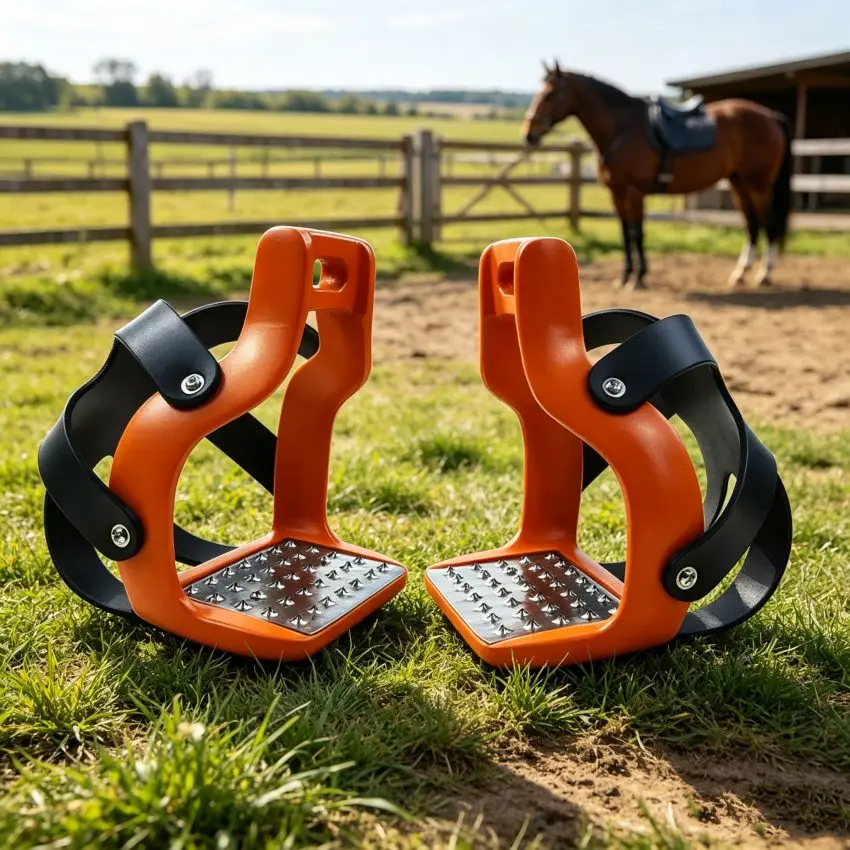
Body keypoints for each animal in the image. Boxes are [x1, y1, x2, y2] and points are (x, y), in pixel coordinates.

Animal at [523, 61, 793, 290]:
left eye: (549, 94)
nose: (528, 134)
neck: (622, 127)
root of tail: (770, 116)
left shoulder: (634, 192)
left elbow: (638, 233)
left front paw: (639, 277)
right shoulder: (616, 193)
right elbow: (626, 233)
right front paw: (625, 276)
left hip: (759, 183)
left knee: (768, 224)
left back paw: (764, 274)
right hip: (739, 182)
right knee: (752, 225)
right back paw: (740, 273)